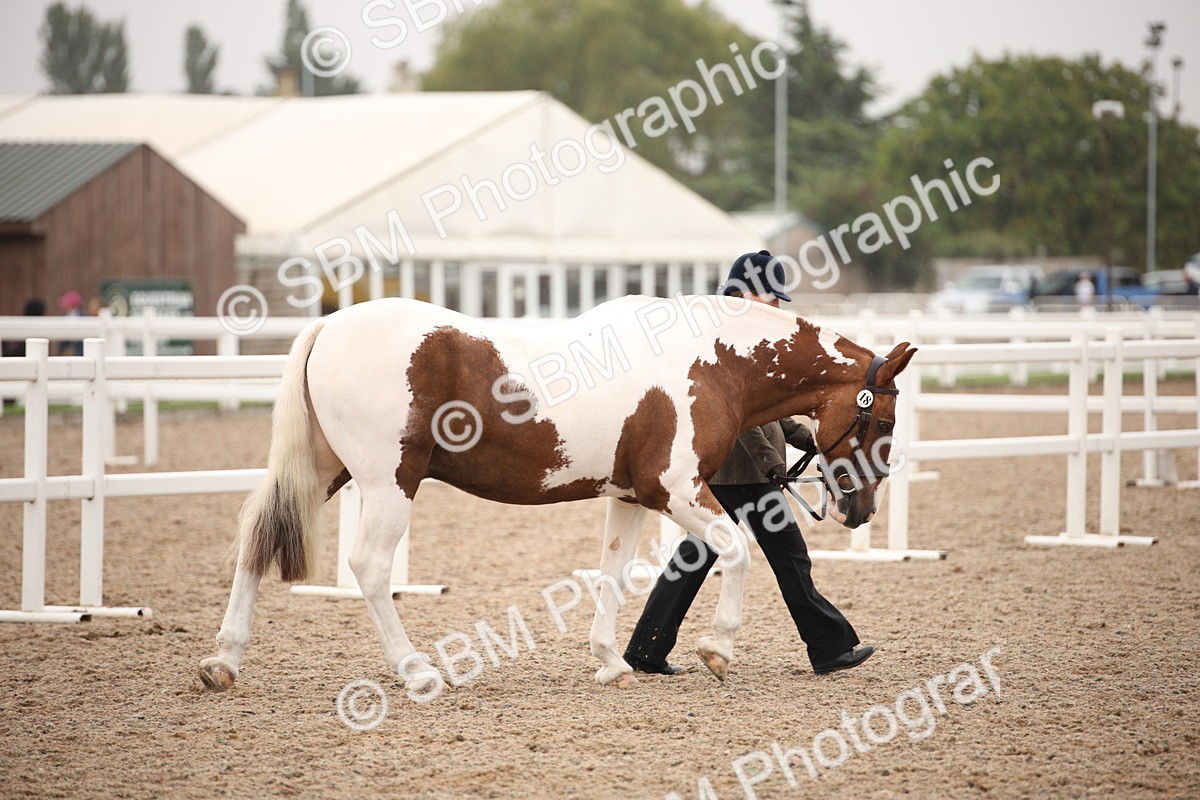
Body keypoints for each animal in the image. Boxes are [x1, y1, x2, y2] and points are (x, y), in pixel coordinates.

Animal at [198, 294, 915, 694]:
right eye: (883, 419)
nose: (861, 509)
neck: (710, 361)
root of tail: (331, 326)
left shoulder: (630, 496)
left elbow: (615, 574)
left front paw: (611, 663)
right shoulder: (677, 490)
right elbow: (738, 552)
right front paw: (717, 650)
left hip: (326, 472)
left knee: (255, 543)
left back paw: (223, 662)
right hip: (386, 481)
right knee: (371, 569)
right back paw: (418, 671)